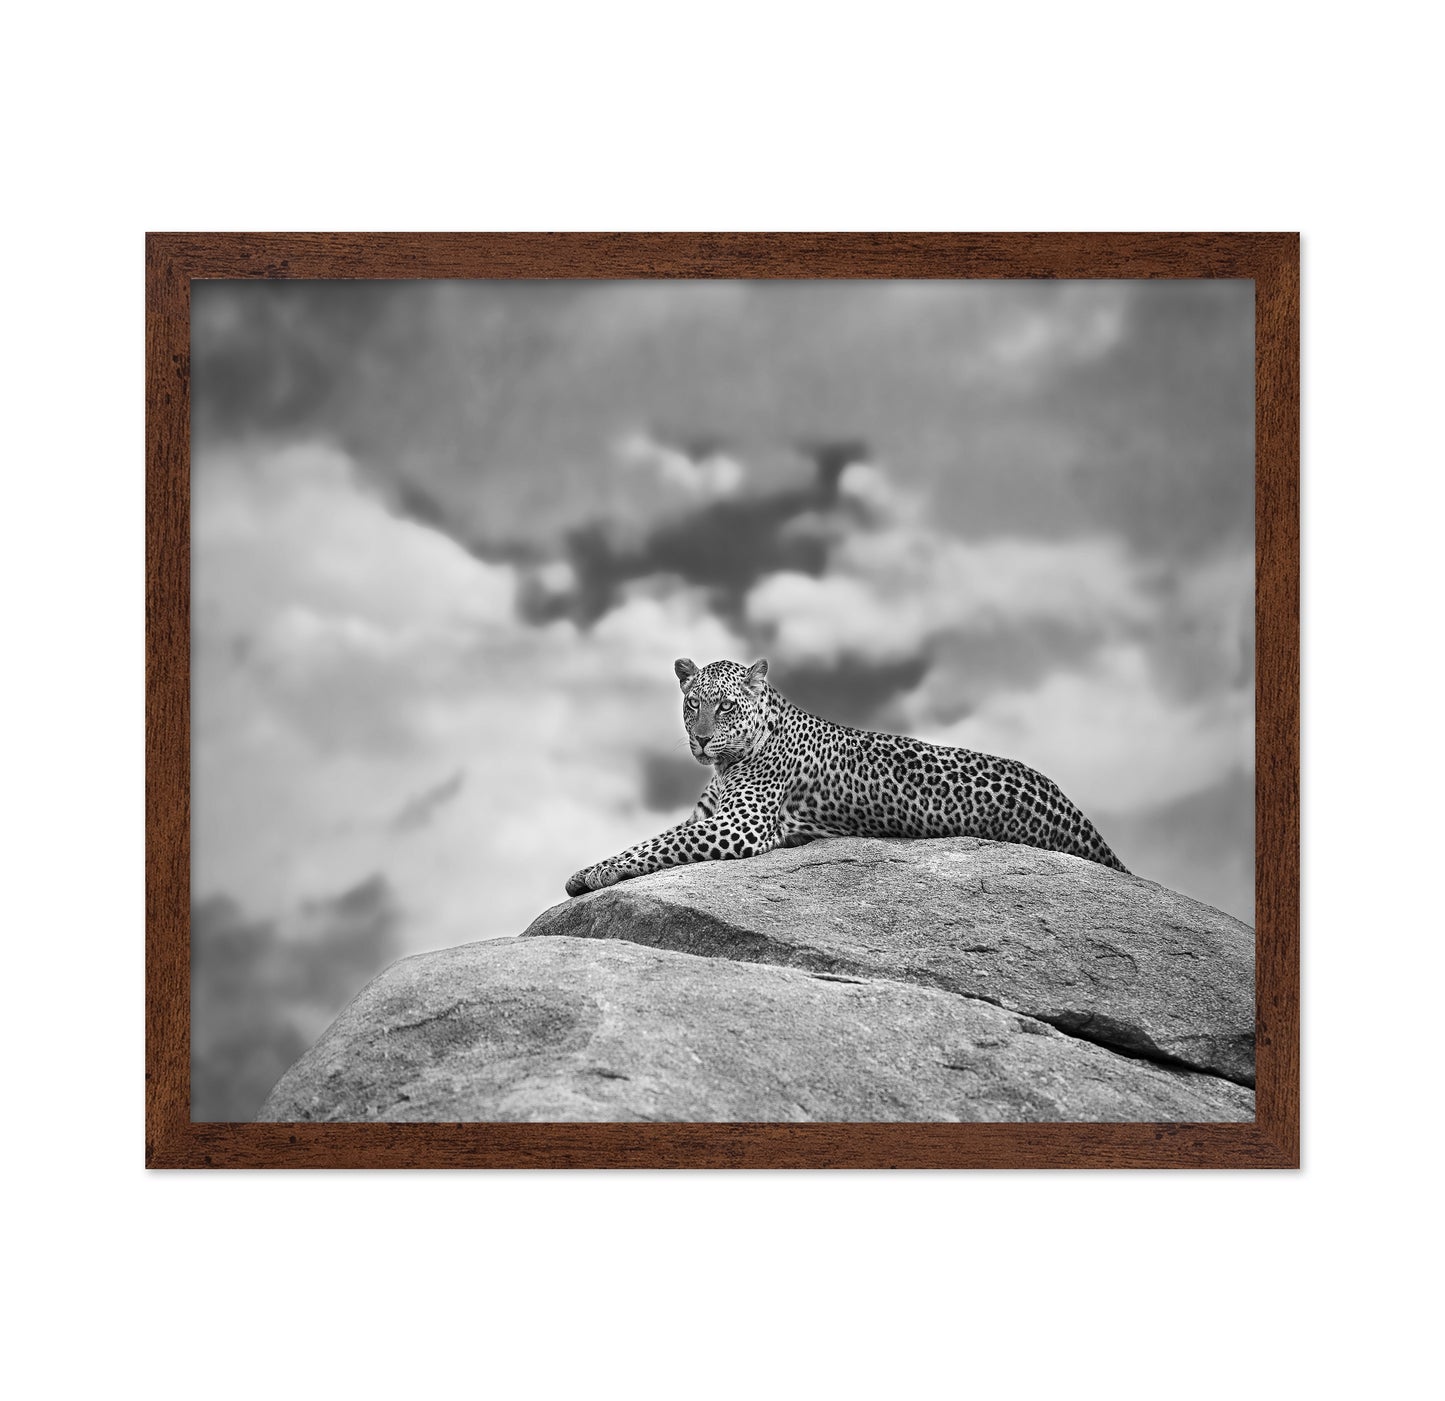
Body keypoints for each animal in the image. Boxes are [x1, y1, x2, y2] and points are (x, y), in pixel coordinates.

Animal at [565, 657, 1128, 896]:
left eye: (724, 707)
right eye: (691, 706)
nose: (701, 740)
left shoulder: (738, 825)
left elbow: (657, 845)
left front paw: (593, 873)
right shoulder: (708, 816)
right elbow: (653, 839)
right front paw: (589, 870)